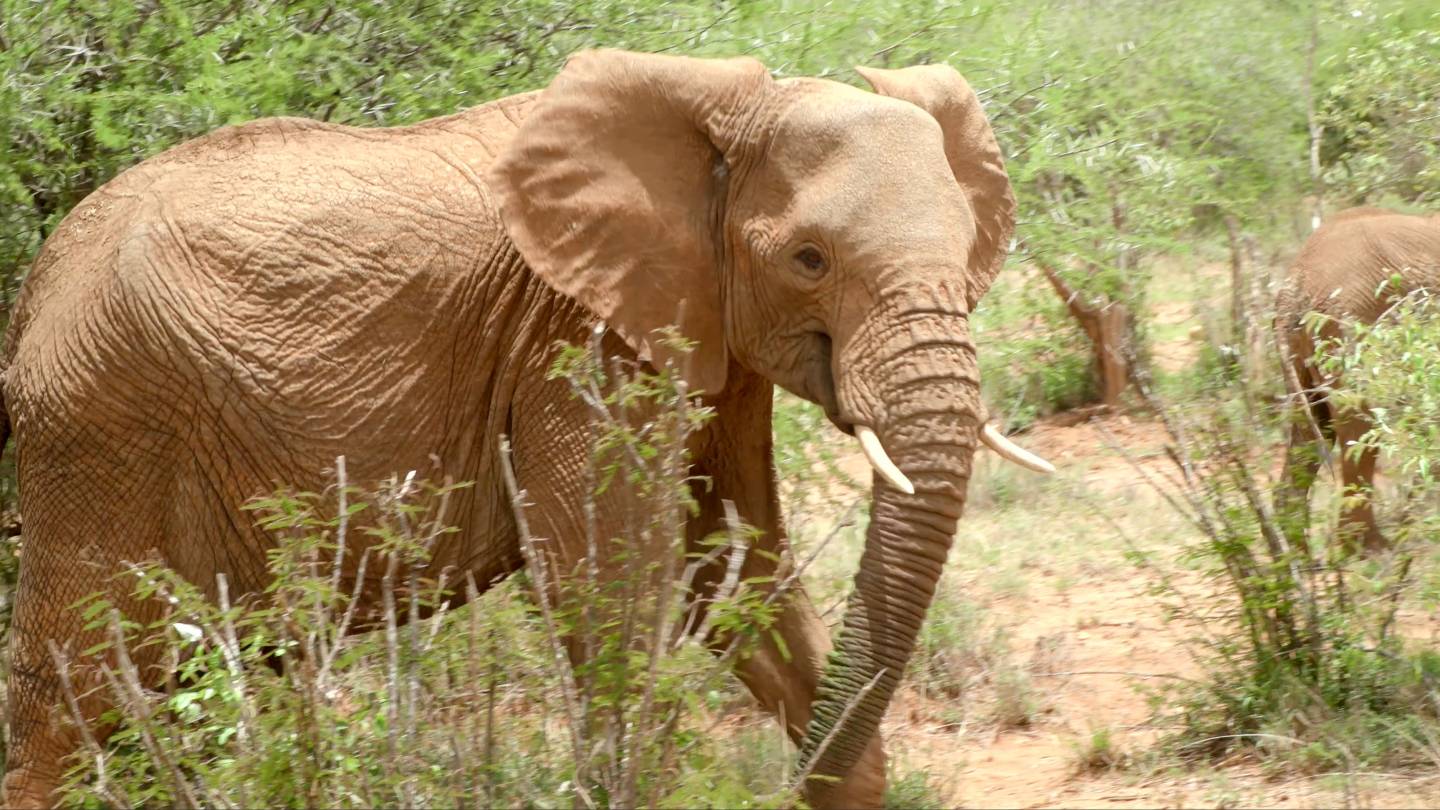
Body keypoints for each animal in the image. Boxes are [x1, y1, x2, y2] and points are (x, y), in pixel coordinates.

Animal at [0, 49, 1053, 808]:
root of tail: (37, 283)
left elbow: (732, 565)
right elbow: (614, 590)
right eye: (809, 259)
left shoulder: (705, 334)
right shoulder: (575, 339)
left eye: (970, 249)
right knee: (77, 698)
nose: (791, 788)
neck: (723, 115)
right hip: (98, 426)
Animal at [1276, 206, 1440, 554]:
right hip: (1348, 321)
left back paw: (1296, 554)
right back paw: (1371, 550)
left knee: (1311, 431)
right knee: (1358, 426)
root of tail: (1294, 281)